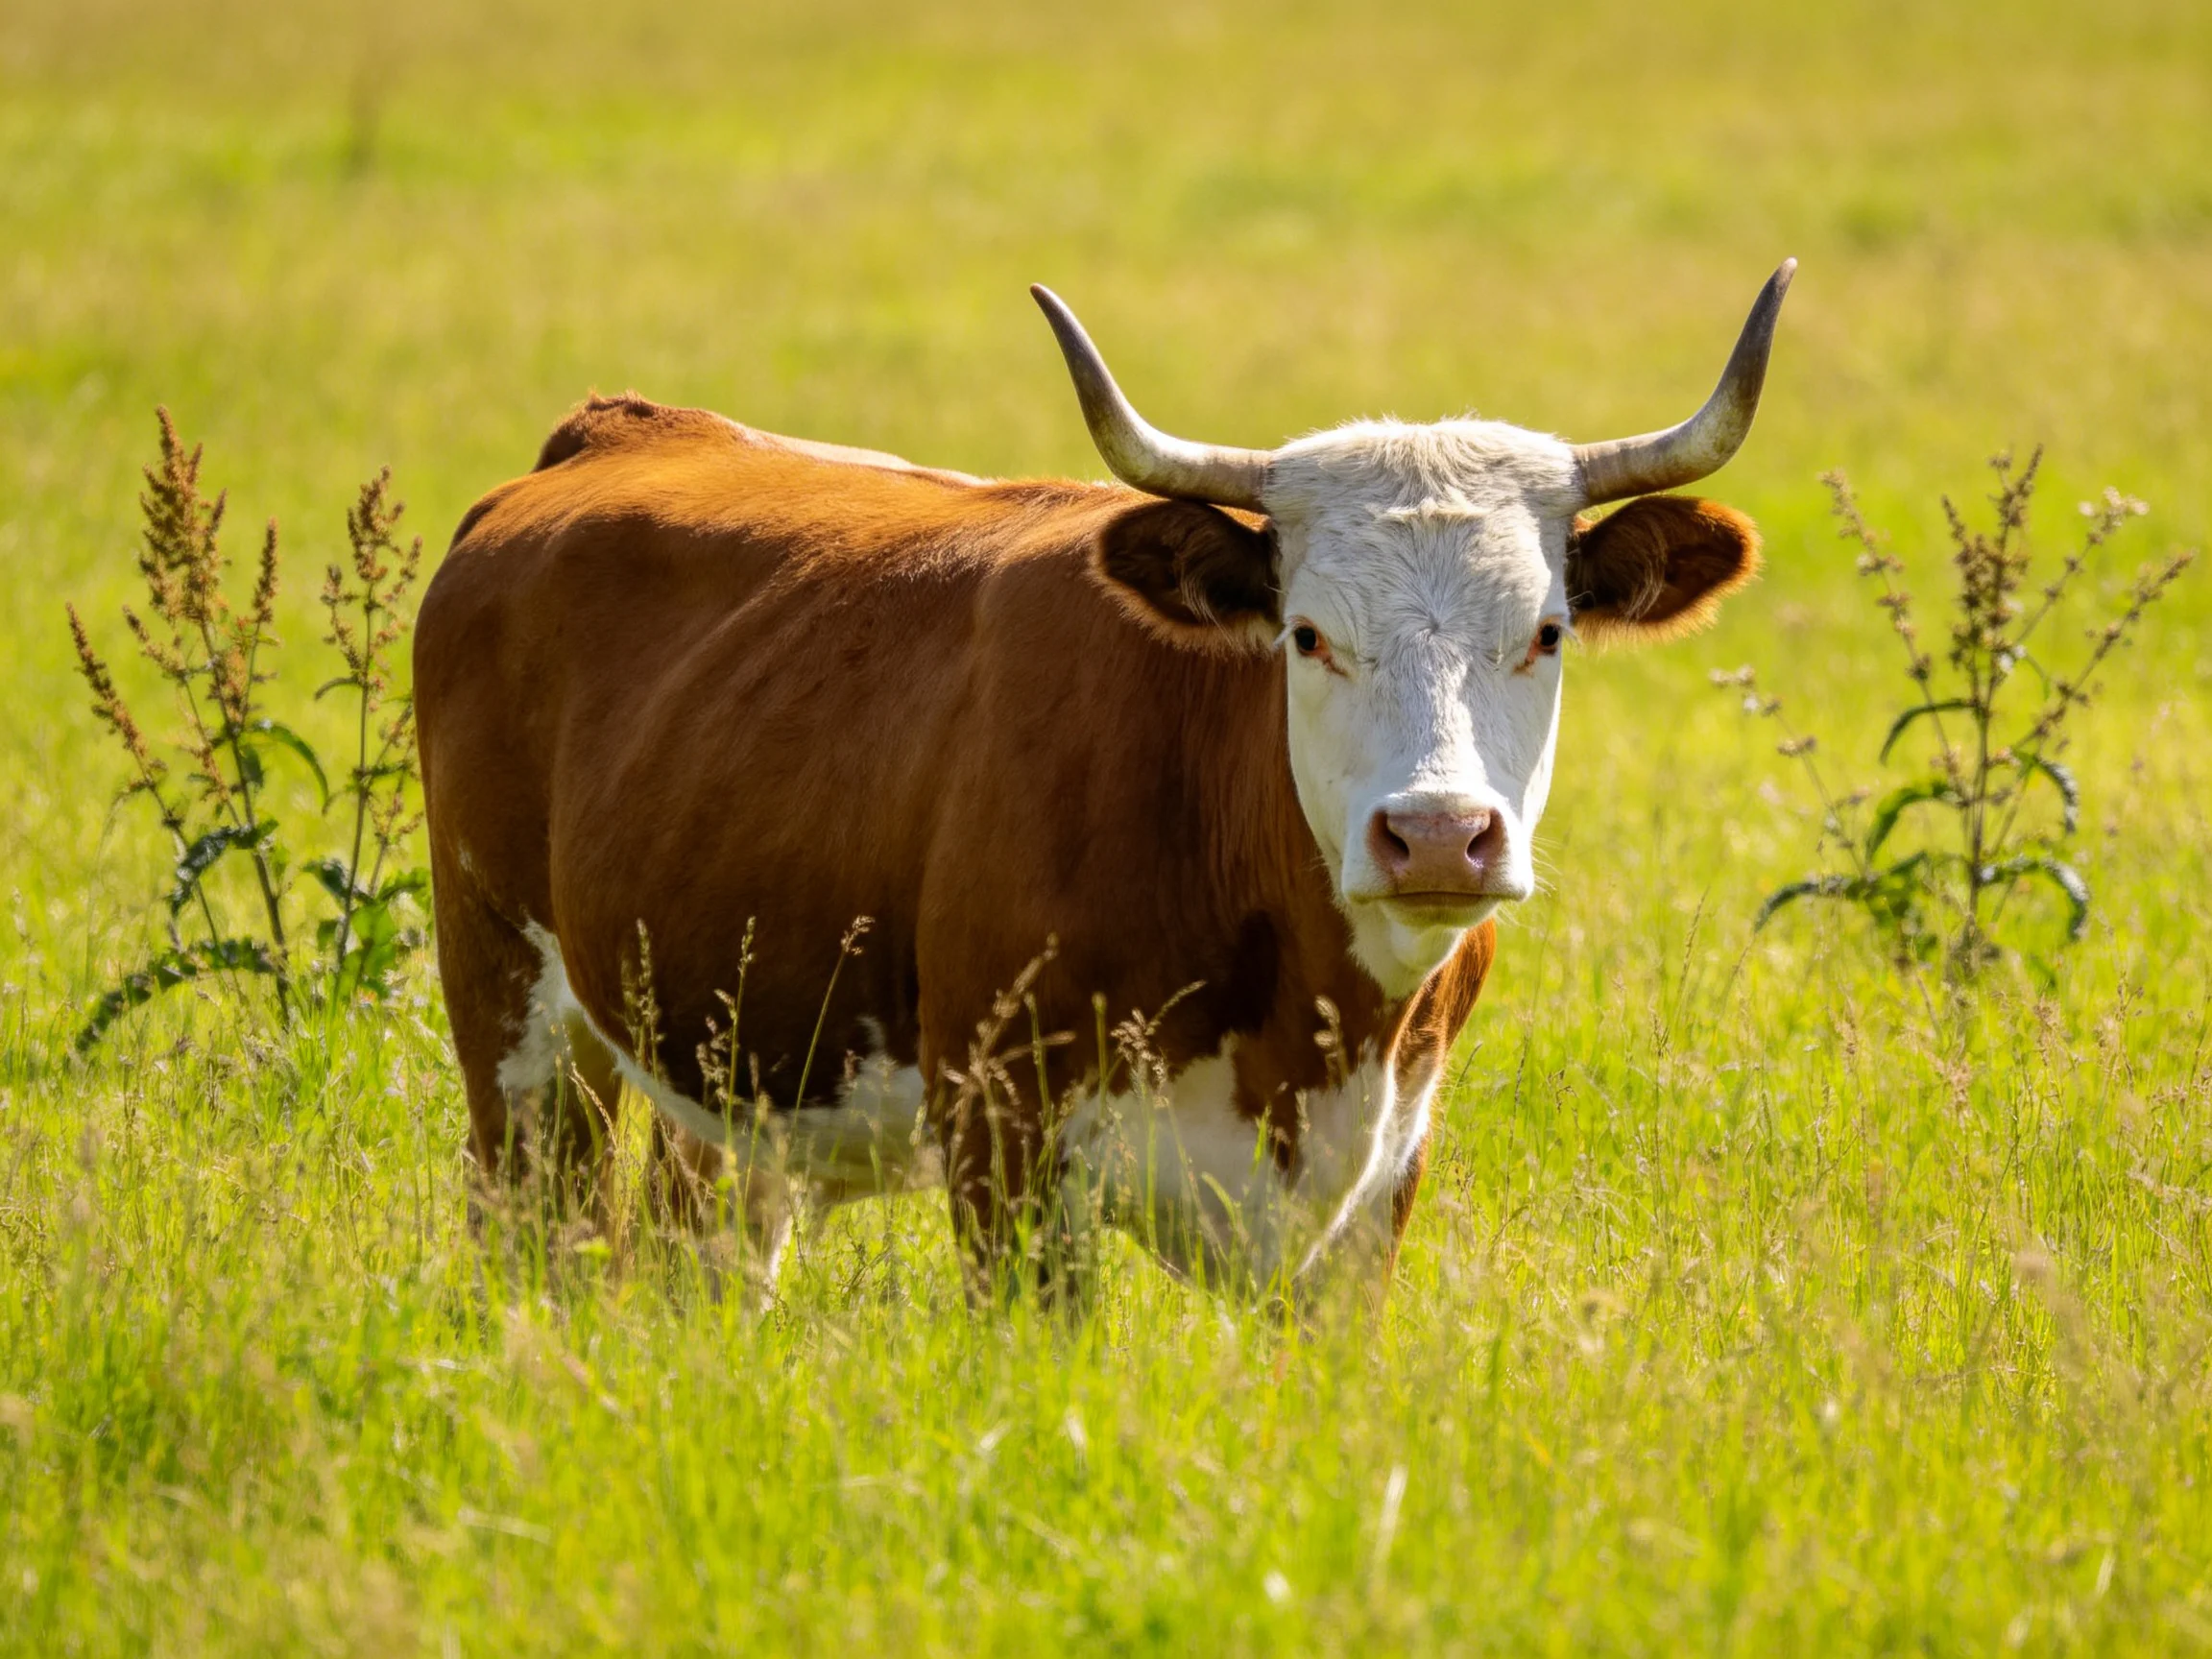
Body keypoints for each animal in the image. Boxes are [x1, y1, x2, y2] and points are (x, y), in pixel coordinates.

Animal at [414, 261, 1794, 1304]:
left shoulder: (1375, 1185)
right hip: (513, 1013)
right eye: (1306, 635)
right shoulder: (1005, 1147)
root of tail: (618, 430)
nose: (1441, 835)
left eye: (1546, 632)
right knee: (536, 1236)